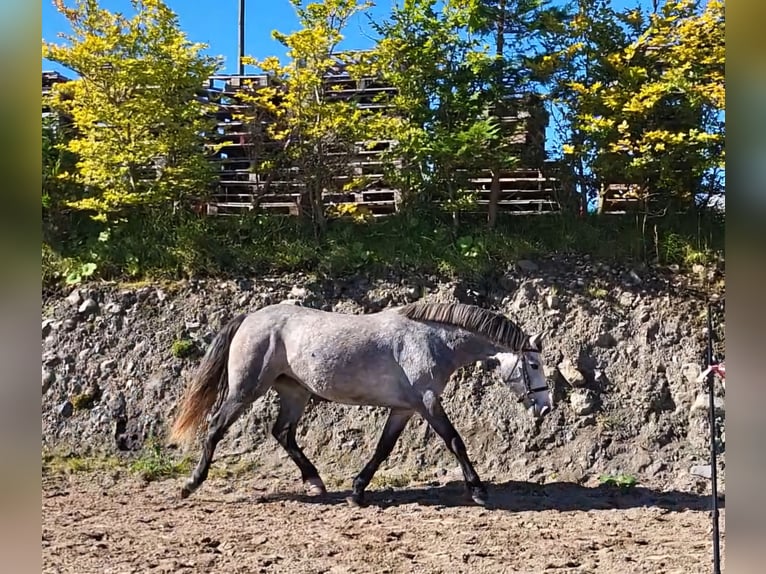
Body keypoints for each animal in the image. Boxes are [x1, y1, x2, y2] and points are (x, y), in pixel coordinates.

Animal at [170, 302, 552, 508]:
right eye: (534, 364)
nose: (546, 407)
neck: (432, 340)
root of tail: (249, 318)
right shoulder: (427, 402)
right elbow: (455, 441)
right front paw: (479, 491)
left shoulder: (404, 408)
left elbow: (383, 448)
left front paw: (356, 491)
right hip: (246, 389)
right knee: (216, 427)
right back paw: (190, 484)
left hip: (295, 392)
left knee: (283, 433)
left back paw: (316, 482)